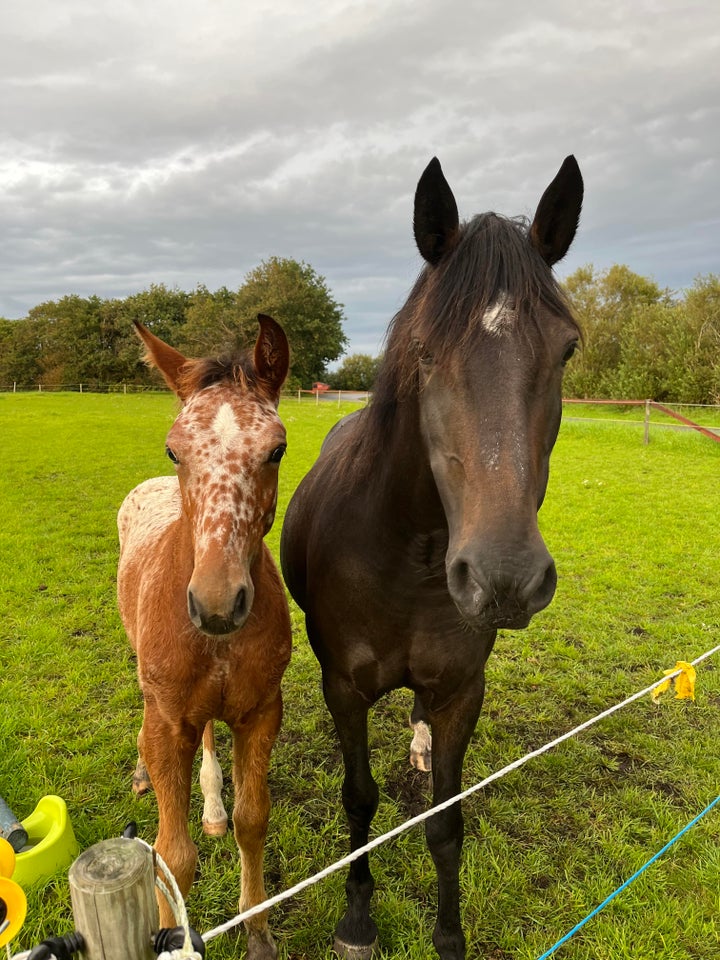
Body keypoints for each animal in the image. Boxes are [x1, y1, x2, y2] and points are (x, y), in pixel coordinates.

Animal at [278, 158, 584, 960]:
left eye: (567, 349)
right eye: (423, 350)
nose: (505, 577)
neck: (406, 557)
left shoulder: (459, 693)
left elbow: (447, 824)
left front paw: (449, 935)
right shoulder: (343, 689)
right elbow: (358, 802)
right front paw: (358, 919)